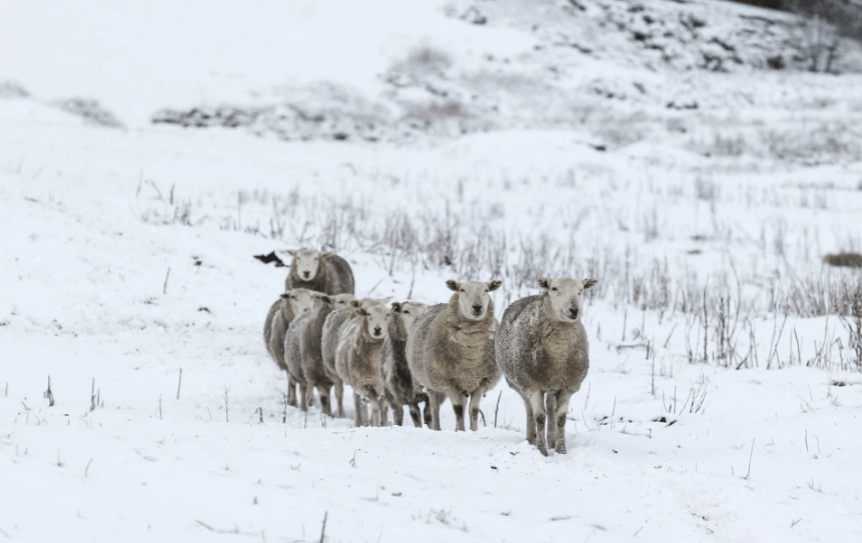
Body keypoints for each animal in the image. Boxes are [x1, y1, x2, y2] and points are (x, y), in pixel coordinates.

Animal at [382, 302, 432, 430]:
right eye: (405, 311)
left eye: (425, 310)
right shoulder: (408, 395)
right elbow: (415, 414)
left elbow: (428, 415)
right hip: (391, 395)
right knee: (398, 414)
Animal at [406, 280, 502, 434]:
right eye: (462, 290)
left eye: (486, 290)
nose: (477, 307)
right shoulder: (447, 381)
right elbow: (458, 408)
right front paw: (462, 431)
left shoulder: (482, 380)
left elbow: (473, 410)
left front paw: (473, 431)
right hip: (432, 382)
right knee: (434, 407)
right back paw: (437, 428)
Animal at [496, 278, 596, 456]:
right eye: (554, 288)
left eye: (581, 290)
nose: (574, 310)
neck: (558, 355)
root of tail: (531, 296)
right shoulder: (533, 385)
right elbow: (540, 417)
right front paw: (542, 450)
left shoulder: (567, 385)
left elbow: (561, 417)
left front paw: (561, 449)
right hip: (518, 383)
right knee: (529, 409)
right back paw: (531, 439)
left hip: (551, 385)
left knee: (550, 407)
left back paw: (551, 439)